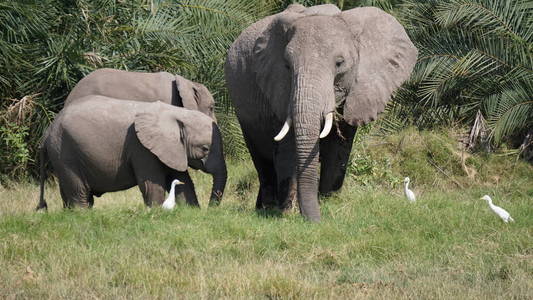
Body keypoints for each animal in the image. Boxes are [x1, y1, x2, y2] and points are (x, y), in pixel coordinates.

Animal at [37, 96, 218, 209]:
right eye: (205, 149)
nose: (211, 210)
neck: (175, 113)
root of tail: (48, 130)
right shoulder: (141, 148)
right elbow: (151, 184)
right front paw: (156, 212)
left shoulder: (170, 148)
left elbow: (181, 179)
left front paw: (191, 211)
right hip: (65, 152)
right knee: (78, 191)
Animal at [222, 3, 418, 221]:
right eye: (287, 66)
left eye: (339, 63)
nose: (315, 221)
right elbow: (287, 147)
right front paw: (287, 213)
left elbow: (339, 146)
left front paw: (328, 202)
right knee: (261, 160)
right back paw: (268, 208)